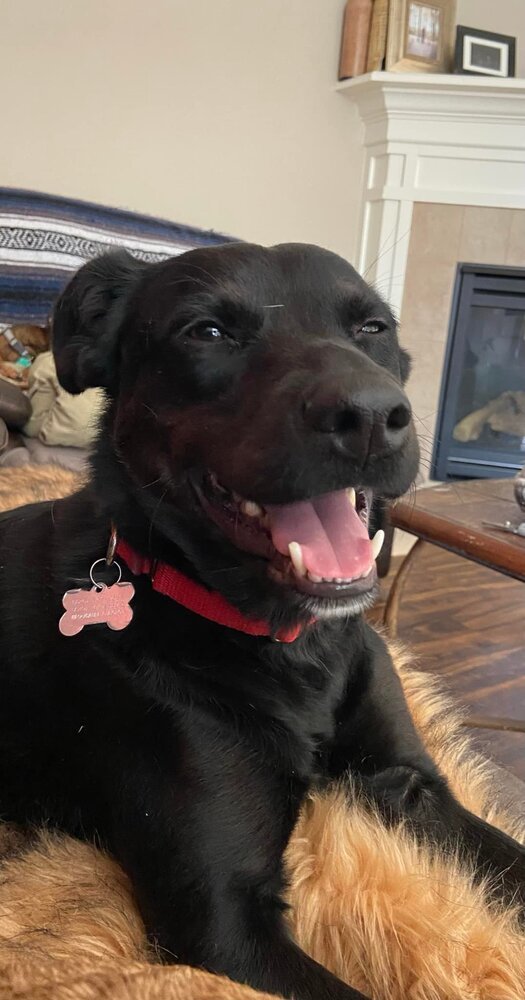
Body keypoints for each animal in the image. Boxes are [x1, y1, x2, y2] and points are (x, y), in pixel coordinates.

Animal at [0, 244, 520, 1000]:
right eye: (207, 332)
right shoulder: (225, 921)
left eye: (373, 327)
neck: (293, 650)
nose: (371, 415)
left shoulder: (413, 788)